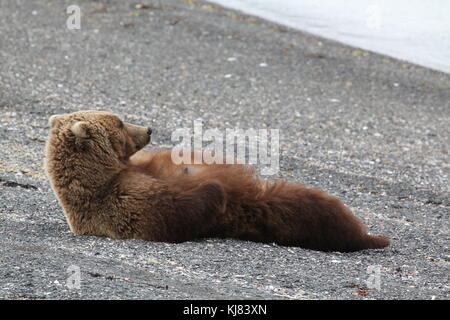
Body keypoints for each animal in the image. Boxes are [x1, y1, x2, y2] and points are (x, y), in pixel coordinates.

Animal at [45, 110, 390, 252]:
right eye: (118, 122)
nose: (148, 129)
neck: (111, 170)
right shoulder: (123, 203)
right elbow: (173, 214)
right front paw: (215, 188)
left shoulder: (136, 170)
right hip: (275, 210)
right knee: (320, 217)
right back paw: (372, 238)